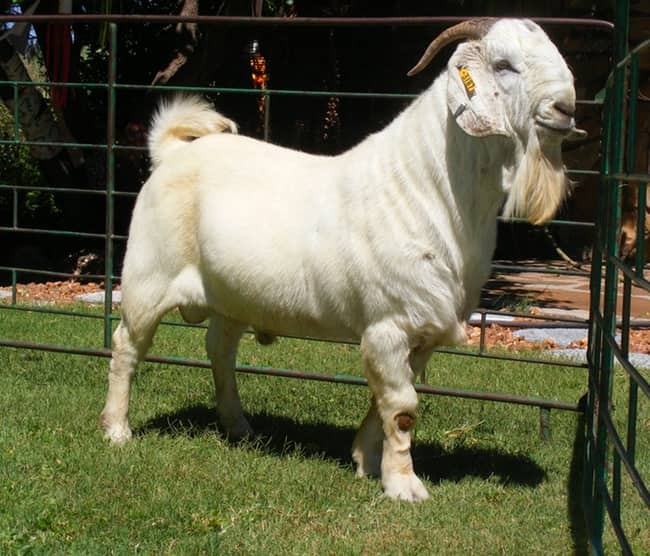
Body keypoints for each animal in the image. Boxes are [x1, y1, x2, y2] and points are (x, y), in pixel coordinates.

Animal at [100, 18, 582, 502]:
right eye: (503, 65)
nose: (565, 108)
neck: (428, 189)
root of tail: (173, 153)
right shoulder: (389, 324)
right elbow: (403, 408)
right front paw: (403, 486)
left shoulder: (422, 331)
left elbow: (385, 401)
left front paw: (365, 460)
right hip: (147, 277)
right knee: (127, 345)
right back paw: (117, 430)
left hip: (232, 296)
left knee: (219, 349)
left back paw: (239, 427)